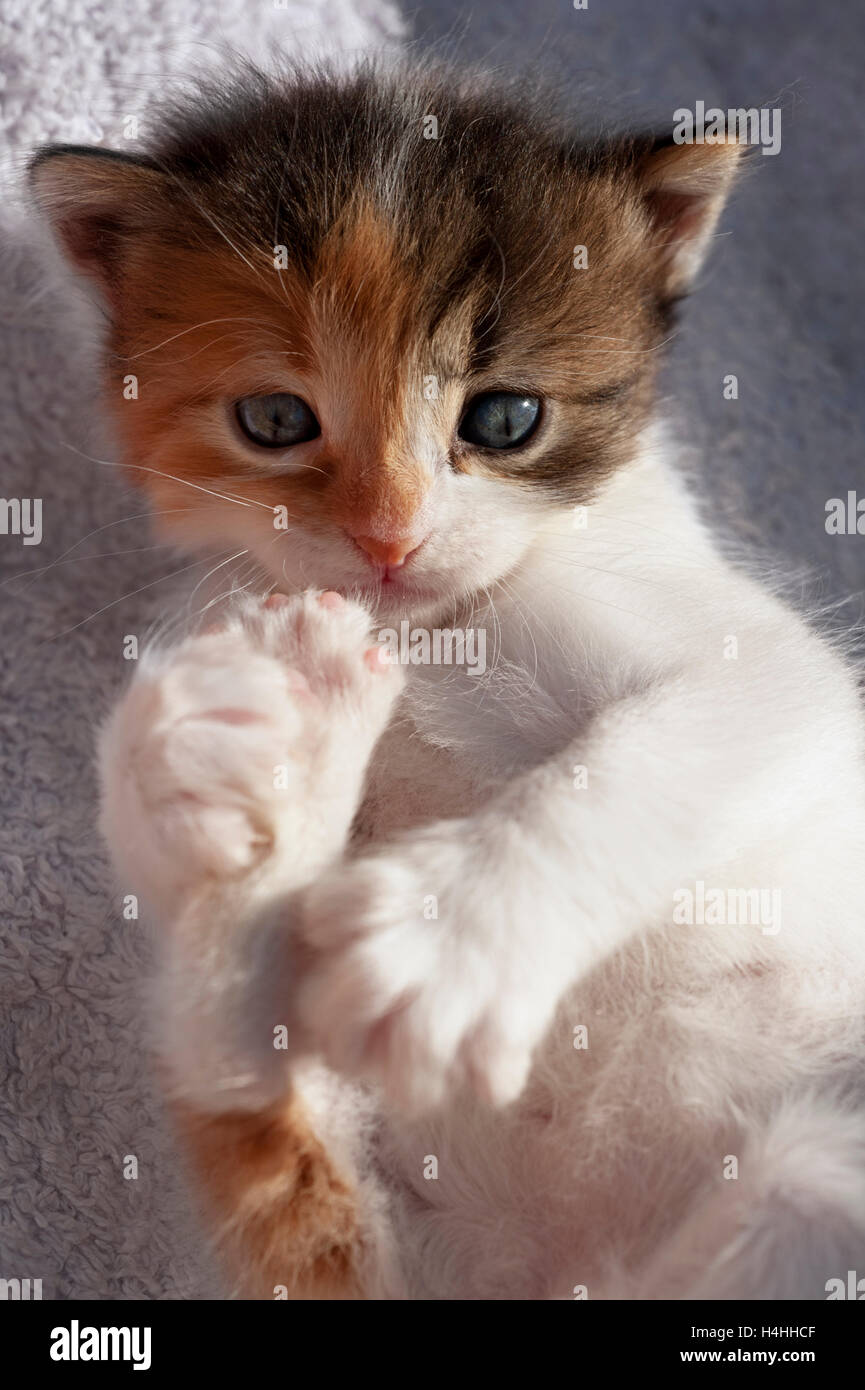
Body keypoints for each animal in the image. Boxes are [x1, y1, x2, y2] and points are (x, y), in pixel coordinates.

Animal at [30, 59, 865, 1295]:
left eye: (506, 417)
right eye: (273, 419)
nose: (388, 538)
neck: (438, 636)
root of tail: (564, 1267)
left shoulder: (774, 673)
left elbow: (645, 756)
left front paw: (447, 936)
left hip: (808, 1176)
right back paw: (260, 772)